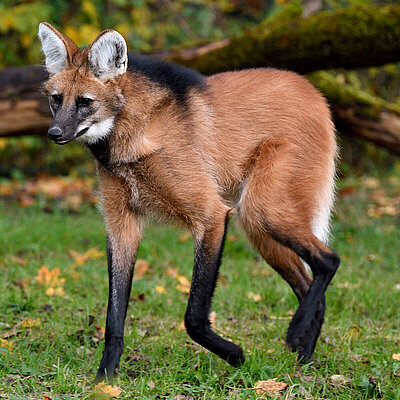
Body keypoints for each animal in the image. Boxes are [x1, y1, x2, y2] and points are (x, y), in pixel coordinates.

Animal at [38, 21, 340, 382]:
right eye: (57, 100)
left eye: (85, 102)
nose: (54, 133)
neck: (131, 135)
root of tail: (314, 92)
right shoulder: (122, 225)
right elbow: (114, 313)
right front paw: (106, 377)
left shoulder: (212, 216)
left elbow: (194, 316)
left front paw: (235, 354)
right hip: (260, 229)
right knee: (310, 284)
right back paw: (304, 361)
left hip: (261, 210)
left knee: (329, 260)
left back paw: (295, 337)